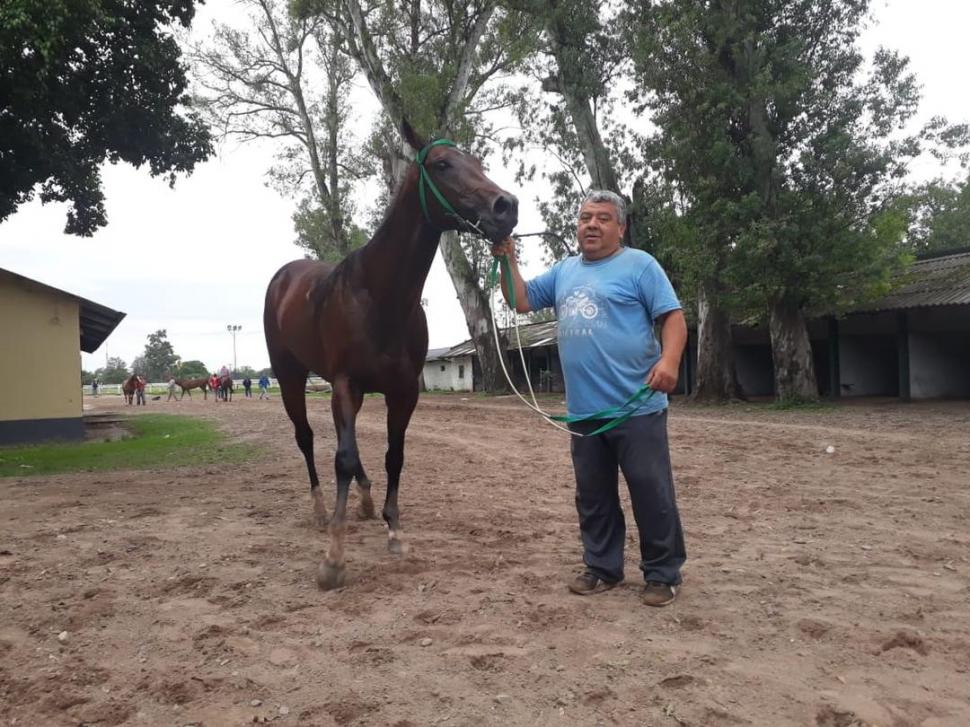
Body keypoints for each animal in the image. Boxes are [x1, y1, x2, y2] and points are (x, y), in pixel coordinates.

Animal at [260, 123, 520, 592]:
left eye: (478, 162)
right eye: (442, 164)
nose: (505, 206)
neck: (380, 296)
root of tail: (284, 276)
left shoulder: (401, 392)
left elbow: (392, 455)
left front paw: (393, 530)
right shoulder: (344, 384)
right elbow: (342, 458)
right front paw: (333, 558)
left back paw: (362, 500)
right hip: (291, 377)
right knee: (306, 438)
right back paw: (322, 511)